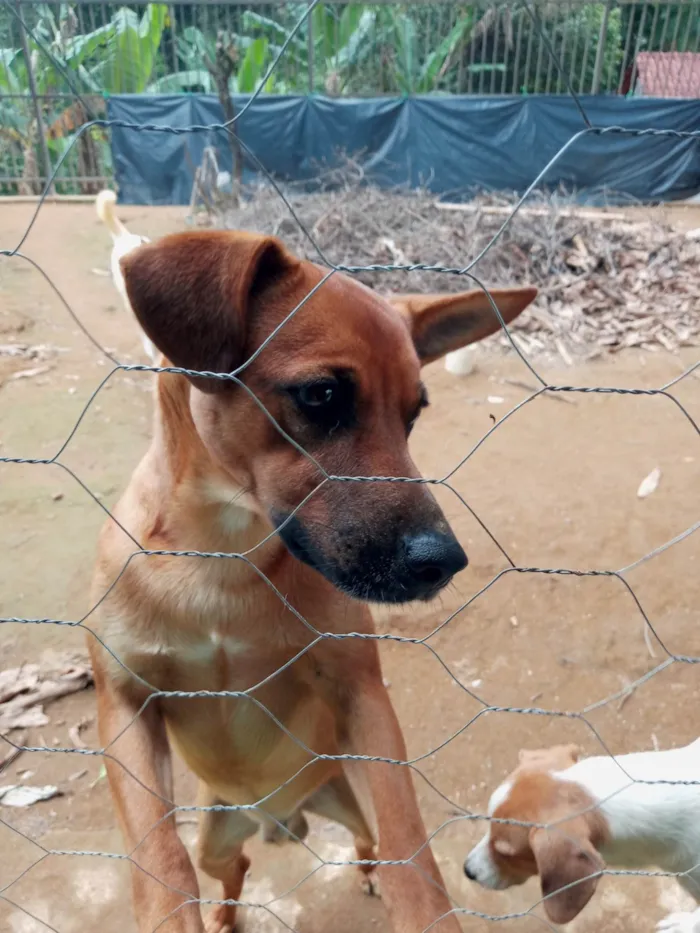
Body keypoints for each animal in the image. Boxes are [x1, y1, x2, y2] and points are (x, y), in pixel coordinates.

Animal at [89, 231, 536, 932]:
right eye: (321, 396)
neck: (223, 560)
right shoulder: (125, 707)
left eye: (412, 416)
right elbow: (159, 861)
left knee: (369, 841)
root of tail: (278, 817)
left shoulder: (361, 695)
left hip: (344, 795)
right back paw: (225, 912)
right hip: (217, 836)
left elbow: (410, 847)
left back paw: (365, 872)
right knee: (233, 865)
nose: (444, 561)